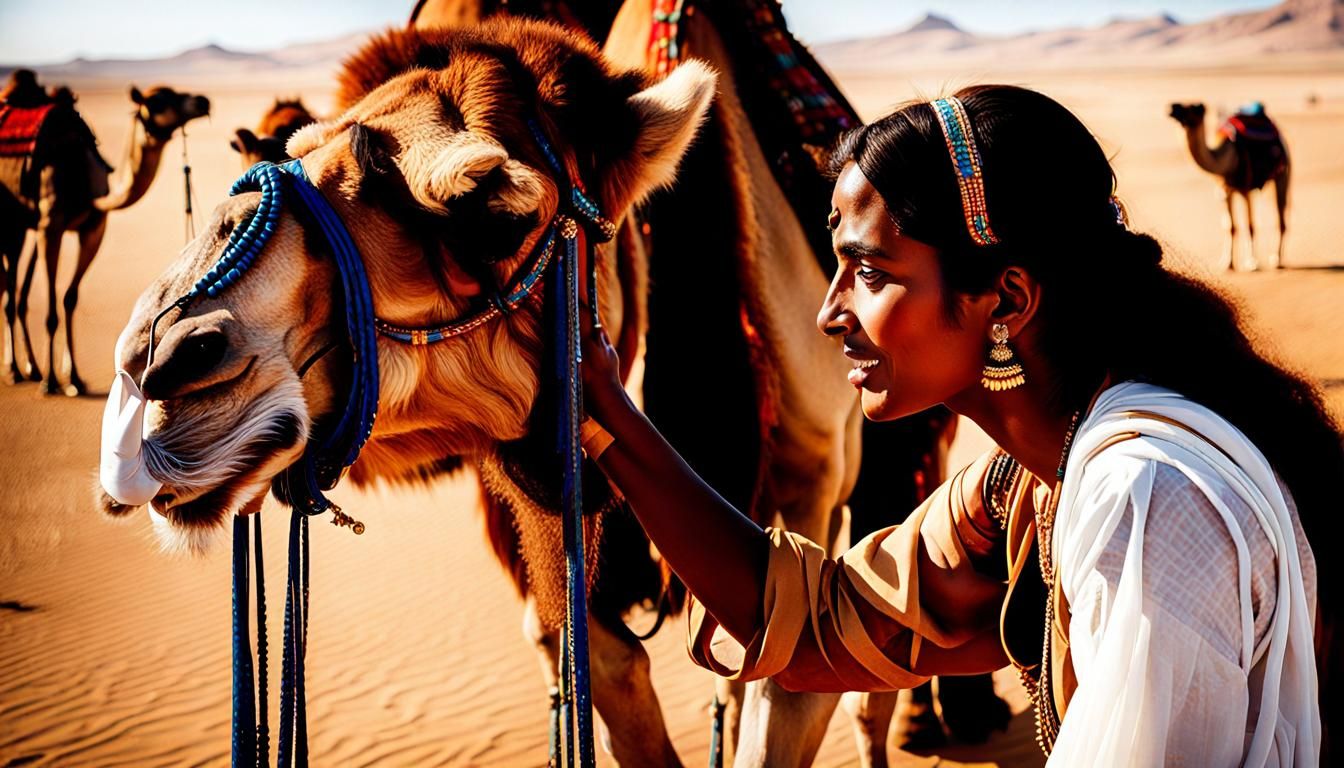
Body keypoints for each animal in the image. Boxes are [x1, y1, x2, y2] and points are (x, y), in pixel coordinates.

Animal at [1, 79, 209, 394]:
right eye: (158, 101)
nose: (202, 101)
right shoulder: (52, 225)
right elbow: (51, 310)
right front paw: (52, 381)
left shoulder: (93, 228)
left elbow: (69, 298)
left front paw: (73, 378)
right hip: (12, 224)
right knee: (10, 290)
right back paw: (14, 369)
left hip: (30, 225)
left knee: (21, 292)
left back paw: (31, 368)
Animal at [1169, 101, 1290, 271]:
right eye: (1180, 105)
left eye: (1193, 108)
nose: (1173, 108)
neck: (1227, 159)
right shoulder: (1224, 191)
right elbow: (1230, 226)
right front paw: (1227, 264)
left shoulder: (1246, 188)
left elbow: (1249, 225)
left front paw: (1252, 263)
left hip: (1283, 174)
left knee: (1281, 218)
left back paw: (1277, 260)